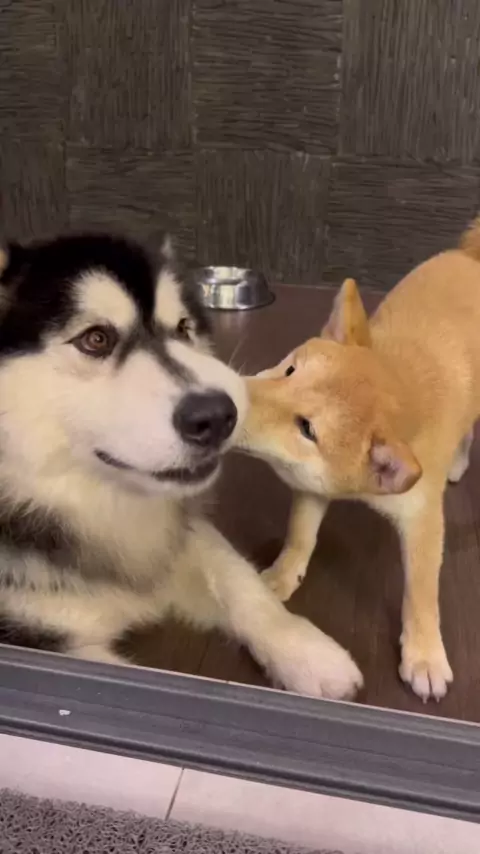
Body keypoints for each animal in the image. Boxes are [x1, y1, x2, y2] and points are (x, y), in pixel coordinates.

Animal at [0, 232, 362, 701]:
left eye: (183, 329)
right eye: (95, 339)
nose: (218, 417)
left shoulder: (176, 531)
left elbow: (238, 577)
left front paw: (308, 651)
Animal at [239, 218, 480, 702]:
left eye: (307, 429)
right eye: (291, 370)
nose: (230, 396)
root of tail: (470, 256)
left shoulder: (423, 518)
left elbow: (421, 593)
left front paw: (424, 655)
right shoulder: (312, 486)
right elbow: (300, 536)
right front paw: (280, 577)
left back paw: (460, 461)